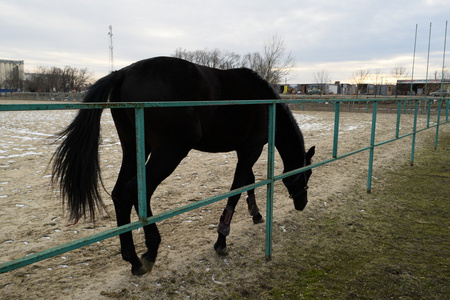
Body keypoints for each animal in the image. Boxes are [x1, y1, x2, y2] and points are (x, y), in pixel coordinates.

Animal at [51, 56, 314, 274]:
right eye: (307, 173)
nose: (302, 203)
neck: (265, 102)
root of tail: (124, 72)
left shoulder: (245, 150)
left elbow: (247, 182)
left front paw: (256, 214)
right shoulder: (252, 149)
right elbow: (236, 191)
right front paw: (222, 239)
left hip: (134, 148)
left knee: (120, 194)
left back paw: (133, 259)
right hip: (170, 152)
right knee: (136, 189)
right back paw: (151, 250)